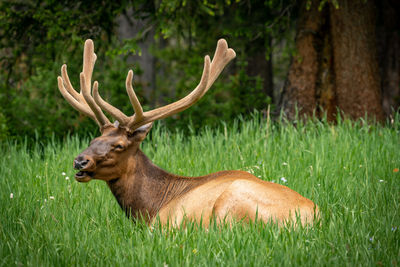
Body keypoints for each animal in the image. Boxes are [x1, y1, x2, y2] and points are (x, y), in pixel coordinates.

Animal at [57, 39, 318, 228]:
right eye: (94, 139)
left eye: (119, 145)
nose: (80, 161)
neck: (151, 207)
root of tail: (312, 220)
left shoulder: (160, 227)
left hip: (230, 205)